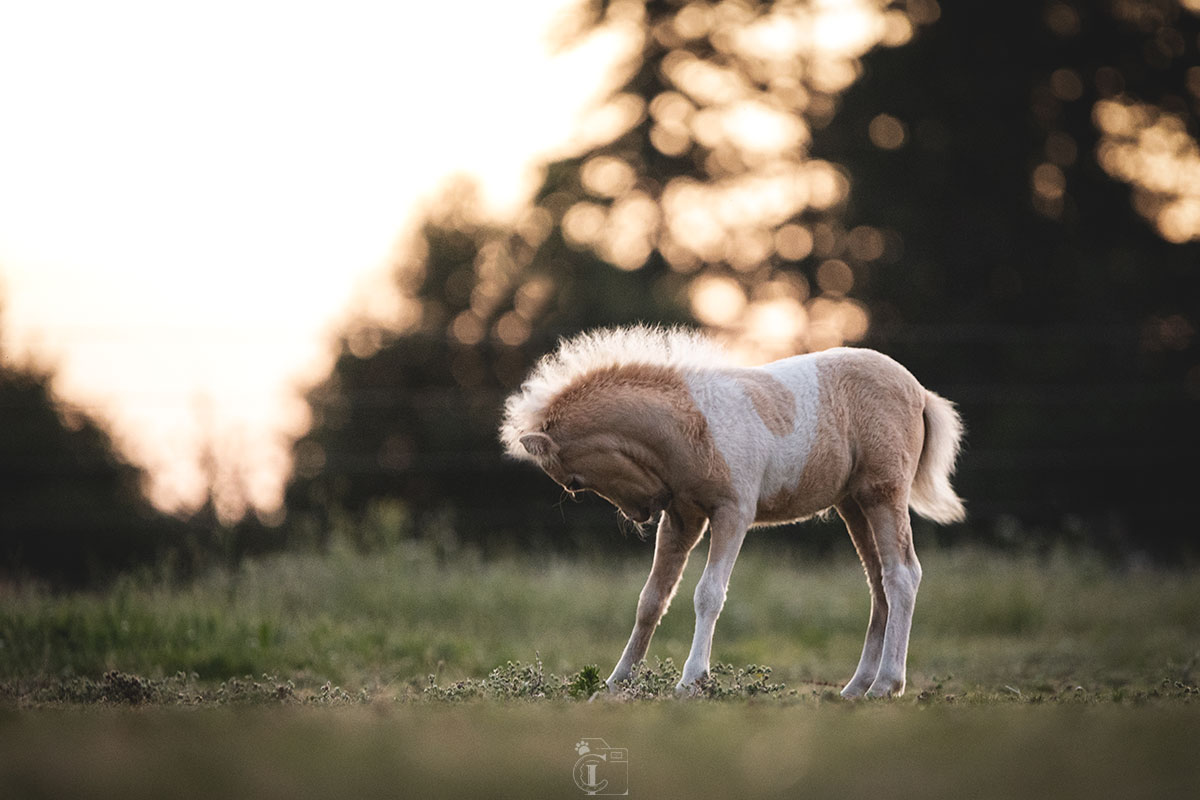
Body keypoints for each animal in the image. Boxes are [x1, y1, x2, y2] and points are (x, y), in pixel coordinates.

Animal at [499, 326, 964, 700]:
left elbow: (708, 594)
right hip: (853, 505)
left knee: (902, 575)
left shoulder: (733, 512)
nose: (643, 512)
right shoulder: (683, 517)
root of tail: (920, 392)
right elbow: (651, 599)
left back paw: (887, 685)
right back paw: (854, 689)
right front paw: (615, 684)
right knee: (878, 583)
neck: (694, 425)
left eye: (573, 484)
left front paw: (691, 682)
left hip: (883, 493)